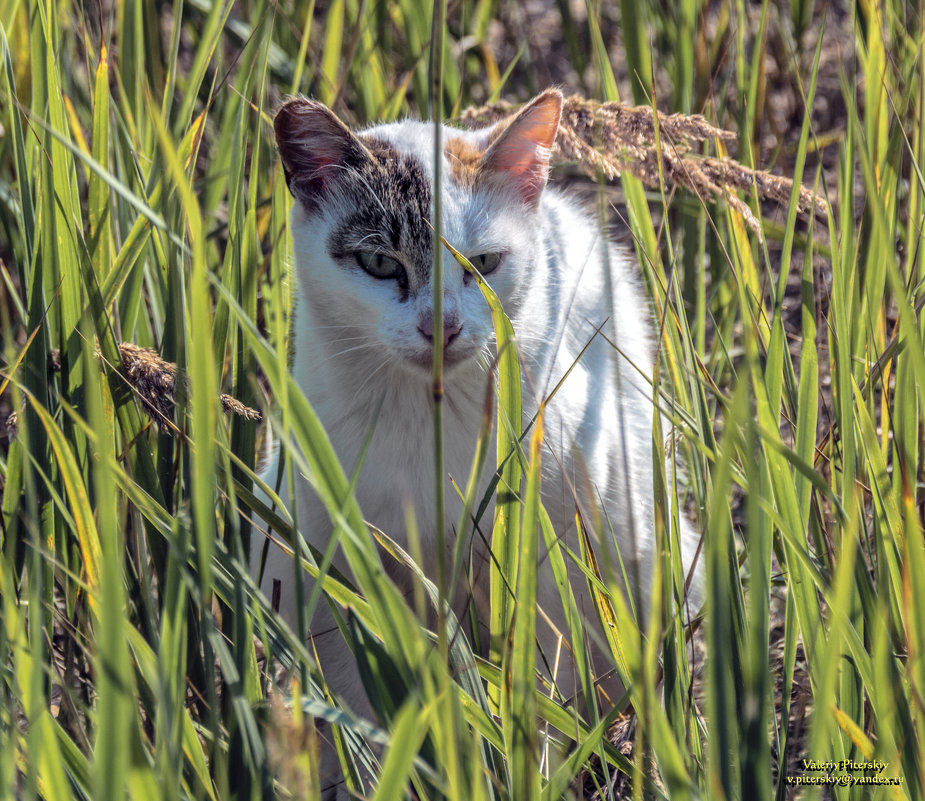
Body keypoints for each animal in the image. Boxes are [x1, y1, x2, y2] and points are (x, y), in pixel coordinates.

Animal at [256, 89, 696, 800]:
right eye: (381, 262)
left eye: (483, 265)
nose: (443, 326)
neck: (428, 423)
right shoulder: (336, 560)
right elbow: (356, 699)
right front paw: (372, 777)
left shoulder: (546, 563)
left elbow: (537, 690)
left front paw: (528, 773)